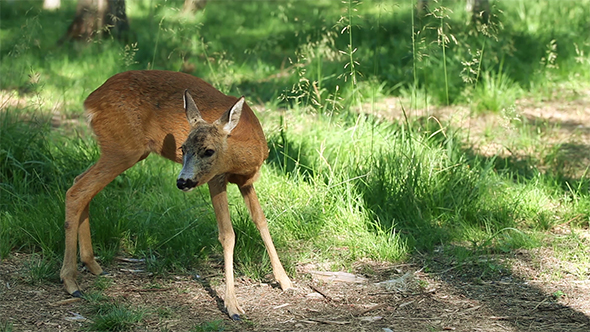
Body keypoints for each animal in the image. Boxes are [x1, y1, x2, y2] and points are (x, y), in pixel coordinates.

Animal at [61, 69, 294, 320]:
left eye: (208, 151)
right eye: (182, 148)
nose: (182, 182)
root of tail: (89, 101)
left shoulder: (246, 183)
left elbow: (261, 221)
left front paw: (285, 281)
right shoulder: (216, 179)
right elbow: (227, 235)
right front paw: (233, 306)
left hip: (122, 151)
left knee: (81, 186)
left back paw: (92, 265)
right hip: (122, 148)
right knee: (76, 191)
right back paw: (71, 282)